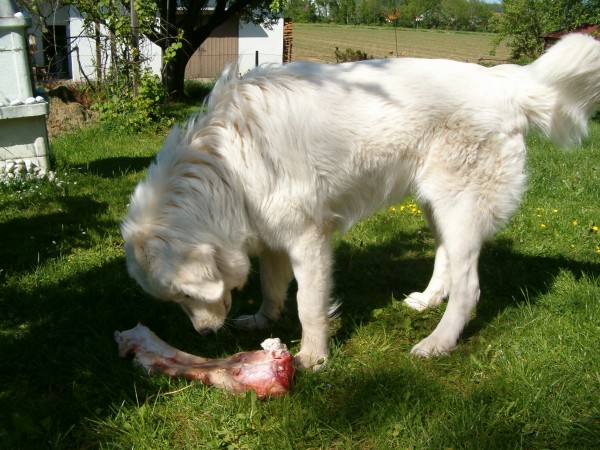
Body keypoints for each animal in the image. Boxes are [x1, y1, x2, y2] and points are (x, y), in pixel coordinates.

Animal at [120, 33, 600, 368]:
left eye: (185, 293)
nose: (202, 335)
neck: (226, 165)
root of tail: (506, 83)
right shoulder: (272, 234)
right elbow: (272, 285)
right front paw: (264, 319)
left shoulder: (308, 239)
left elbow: (308, 304)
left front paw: (313, 358)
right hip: (436, 205)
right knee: (445, 258)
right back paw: (427, 301)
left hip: (460, 208)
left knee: (470, 288)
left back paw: (437, 343)